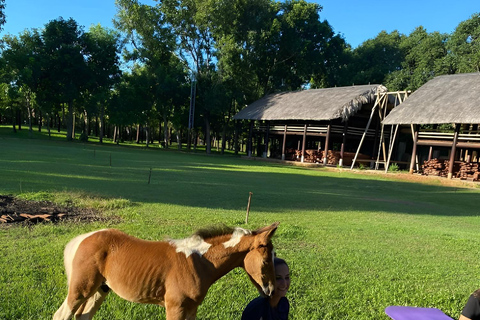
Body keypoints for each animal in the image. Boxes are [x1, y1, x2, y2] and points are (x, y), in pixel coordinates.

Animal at [53, 222, 278, 320]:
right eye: (267, 260)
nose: (272, 290)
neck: (198, 261)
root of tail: (83, 238)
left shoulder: (191, 309)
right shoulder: (175, 307)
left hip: (100, 289)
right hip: (81, 290)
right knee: (61, 315)